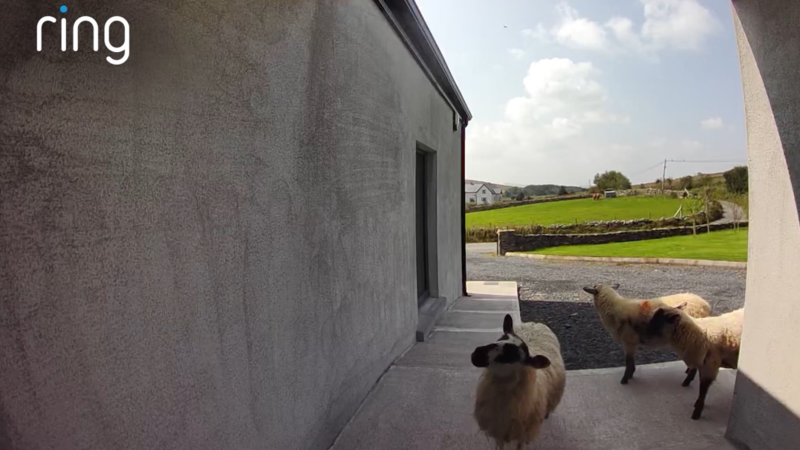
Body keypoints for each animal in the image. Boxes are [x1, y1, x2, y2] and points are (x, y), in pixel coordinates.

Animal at [471, 314, 566, 450]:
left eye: (513, 356)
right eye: (500, 338)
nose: (477, 353)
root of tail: (536, 323)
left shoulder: (522, 432)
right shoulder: (499, 429)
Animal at [581, 283, 712, 384]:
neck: (614, 309)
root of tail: (706, 305)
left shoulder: (629, 341)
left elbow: (628, 362)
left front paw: (625, 379)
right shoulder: (632, 343)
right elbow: (631, 362)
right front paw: (630, 375)